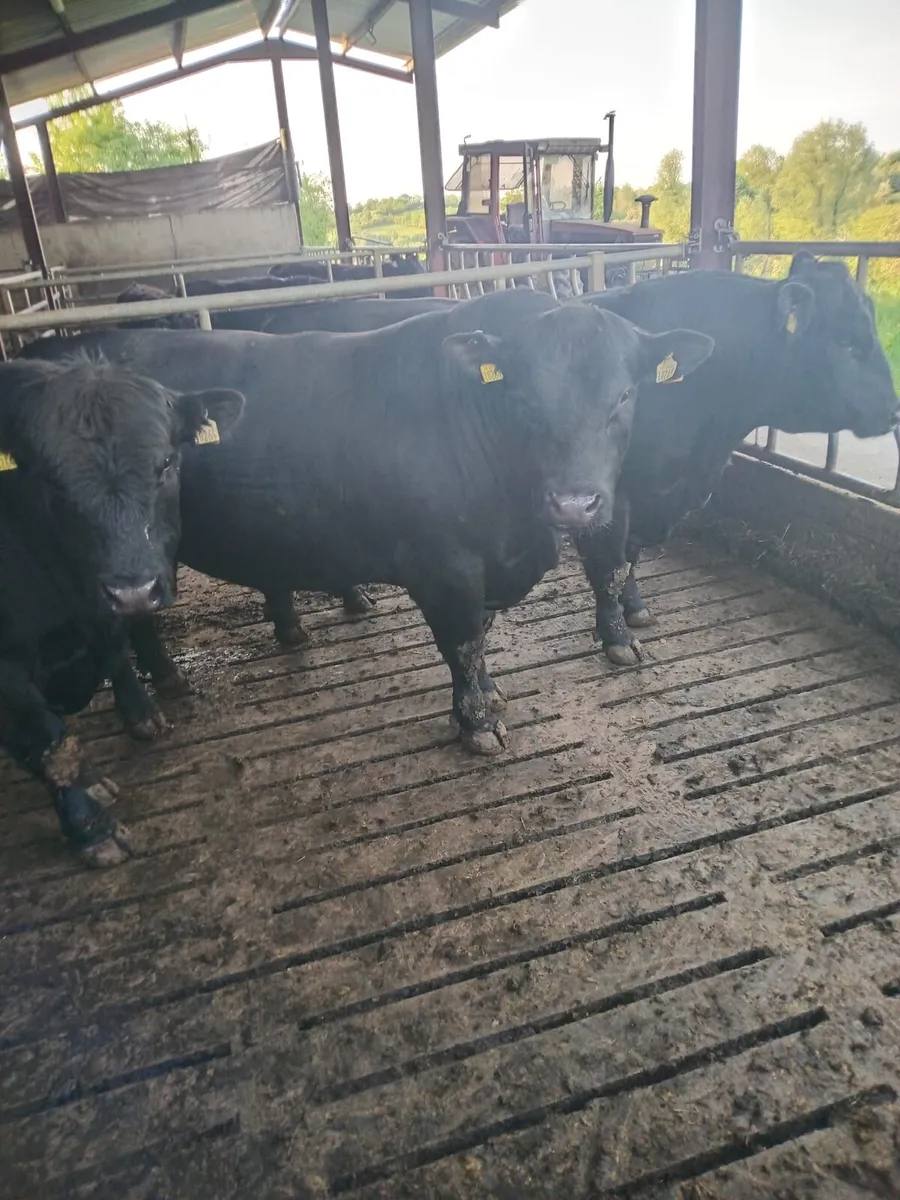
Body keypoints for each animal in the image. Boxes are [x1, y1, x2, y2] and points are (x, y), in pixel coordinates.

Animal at [0, 355, 243, 866]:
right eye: (49, 479)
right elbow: (50, 742)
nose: (132, 590)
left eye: (167, 461)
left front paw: (141, 714)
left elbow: (116, 651)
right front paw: (91, 830)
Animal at [21, 295, 713, 755]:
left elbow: (481, 640)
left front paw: (488, 698)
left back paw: (166, 679)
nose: (573, 505)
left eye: (625, 395)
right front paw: (477, 724)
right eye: (524, 398)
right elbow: (462, 643)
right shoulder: (444, 565)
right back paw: (142, 711)